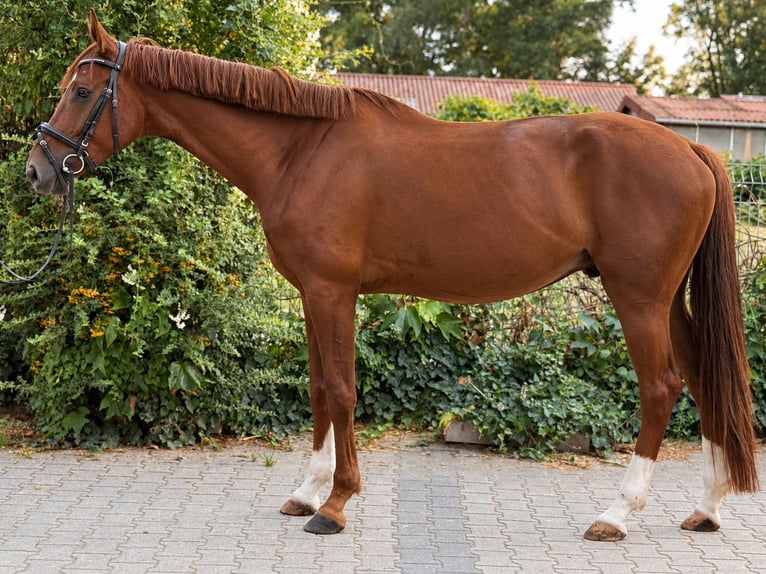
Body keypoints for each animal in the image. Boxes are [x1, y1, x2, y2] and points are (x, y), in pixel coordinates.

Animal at [26, 10, 758, 541]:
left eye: (83, 92)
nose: (37, 171)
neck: (300, 151)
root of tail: (689, 147)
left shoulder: (333, 292)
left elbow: (342, 391)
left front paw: (336, 505)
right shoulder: (312, 295)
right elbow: (319, 391)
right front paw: (305, 492)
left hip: (637, 298)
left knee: (662, 389)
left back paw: (615, 514)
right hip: (667, 301)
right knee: (702, 379)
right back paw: (708, 508)